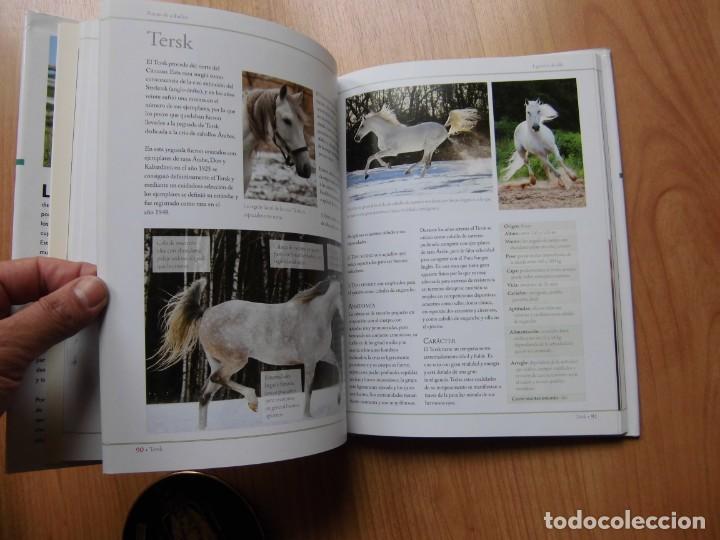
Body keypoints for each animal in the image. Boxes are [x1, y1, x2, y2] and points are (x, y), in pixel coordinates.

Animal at [150, 278, 343, 430]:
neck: (314, 315)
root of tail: (205, 314)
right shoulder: (310, 361)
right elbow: (309, 390)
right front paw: (308, 417)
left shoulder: (324, 355)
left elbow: (340, 368)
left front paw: (339, 400)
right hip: (237, 360)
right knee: (217, 379)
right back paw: (253, 401)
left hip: (219, 362)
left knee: (205, 394)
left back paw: (203, 431)